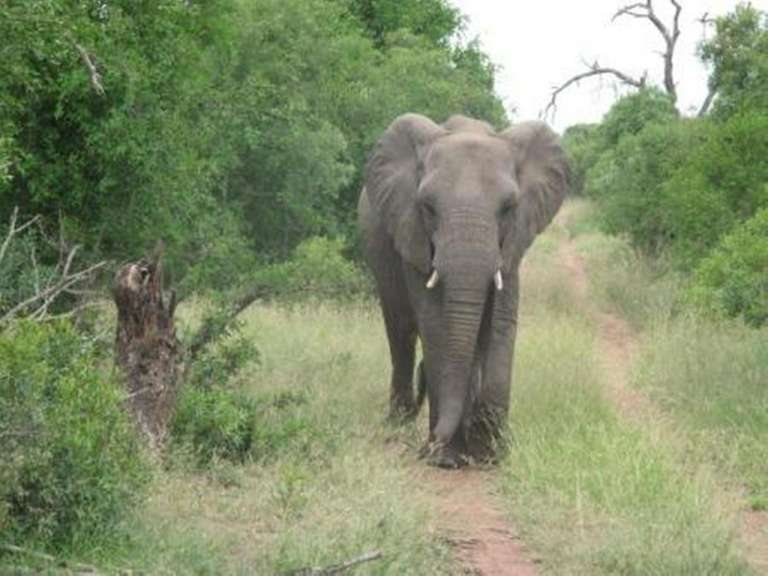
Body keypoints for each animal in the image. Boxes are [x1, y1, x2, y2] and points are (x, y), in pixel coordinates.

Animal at [358, 113, 569, 468]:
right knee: (400, 332)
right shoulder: (413, 236)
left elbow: (500, 323)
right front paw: (448, 459)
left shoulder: (512, 242)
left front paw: (490, 453)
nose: (425, 449)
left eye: (509, 207)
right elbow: (435, 324)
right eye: (427, 207)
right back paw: (399, 422)